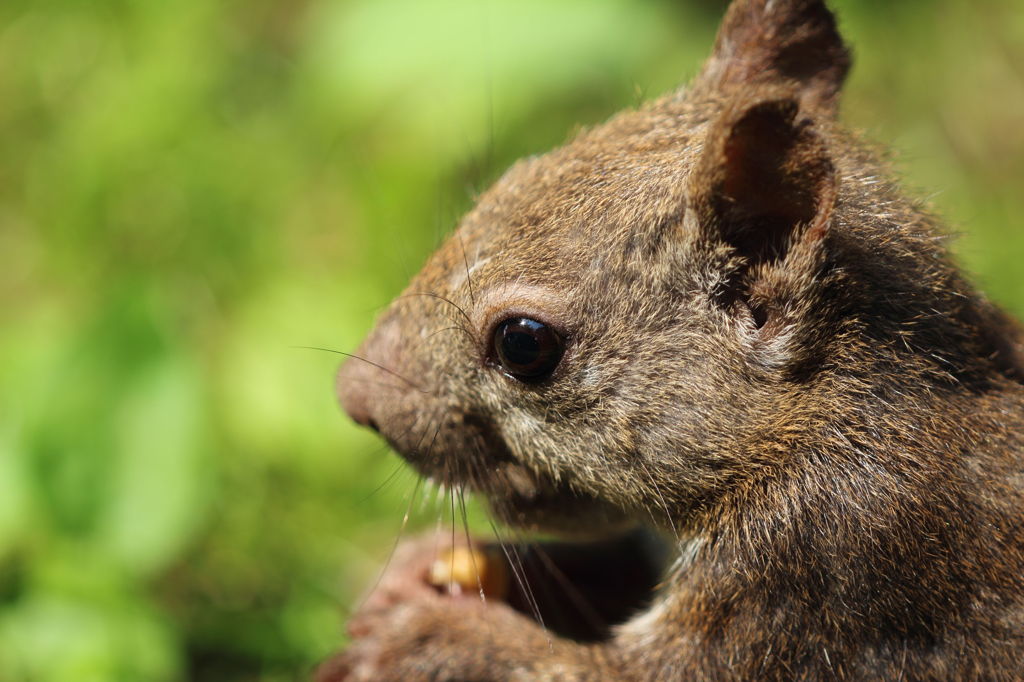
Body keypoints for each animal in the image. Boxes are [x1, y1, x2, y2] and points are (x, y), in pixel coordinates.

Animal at [321, 2, 1024, 675]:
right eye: (508, 181)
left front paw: (425, 637)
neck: (814, 420)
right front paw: (422, 571)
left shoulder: (828, 564)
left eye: (524, 344)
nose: (353, 396)